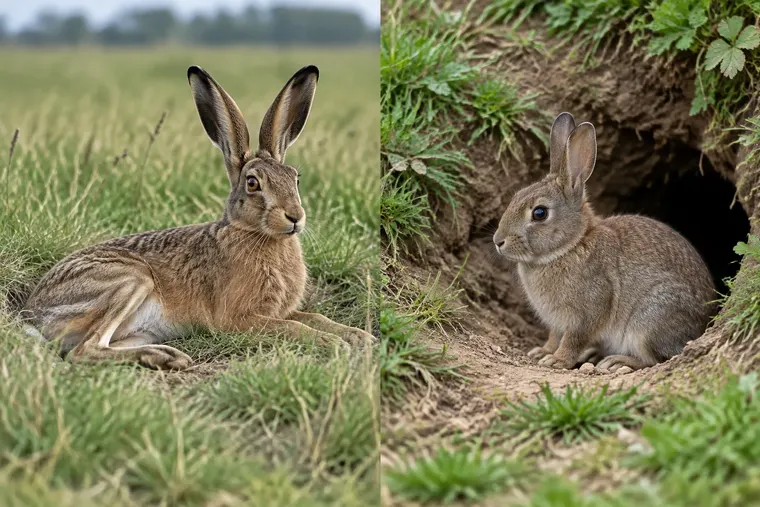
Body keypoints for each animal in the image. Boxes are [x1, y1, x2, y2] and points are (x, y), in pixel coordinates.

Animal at [21, 64, 375, 370]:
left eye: (294, 178)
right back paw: (166, 357)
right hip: (128, 279)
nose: (295, 217)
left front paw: (361, 337)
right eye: (253, 183)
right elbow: (292, 328)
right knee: (83, 350)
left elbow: (315, 319)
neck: (255, 234)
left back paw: (164, 355)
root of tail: (34, 312)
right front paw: (334, 344)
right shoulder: (241, 319)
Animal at [492, 112, 715, 372]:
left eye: (539, 213)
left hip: (650, 321)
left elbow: (573, 339)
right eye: (516, 196)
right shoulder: (557, 322)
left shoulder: (588, 310)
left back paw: (616, 361)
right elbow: (554, 336)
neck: (570, 246)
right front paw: (542, 352)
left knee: (656, 359)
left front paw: (557, 360)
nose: (498, 241)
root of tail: (705, 322)